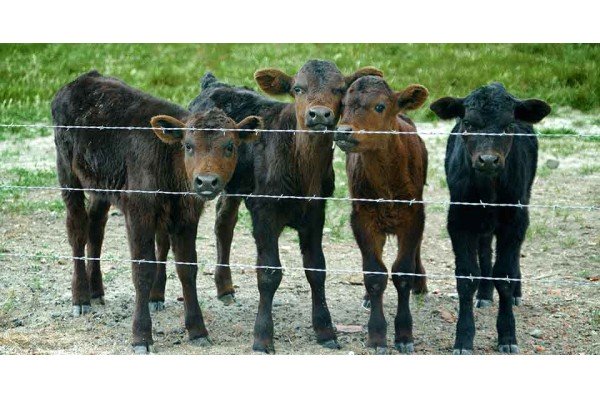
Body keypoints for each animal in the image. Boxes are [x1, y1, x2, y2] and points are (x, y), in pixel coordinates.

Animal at [49, 71, 260, 354]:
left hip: (101, 185)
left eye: (230, 146)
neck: (168, 163)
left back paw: (96, 290)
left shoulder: (186, 216)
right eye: (188, 145)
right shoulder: (139, 213)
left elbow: (187, 268)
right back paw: (81, 297)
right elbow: (142, 269)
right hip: (68, 174)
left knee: (96, 226)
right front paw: (141, 336)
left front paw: (197, 330)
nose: (206, 182)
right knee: (77, 229)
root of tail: (84, 78)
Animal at [188, 59, 382, 354]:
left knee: (224, 222)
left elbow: (316, 268)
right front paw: (262, 337)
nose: (319, 114)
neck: (301, 167)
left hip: (233, 184)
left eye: (339, 89)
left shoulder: (315, 212)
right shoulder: (264, 212)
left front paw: (325, 330)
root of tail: (214, 83)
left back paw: (225, 288)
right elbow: (269, 272)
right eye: (298, 89)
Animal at [336, 75, 428, 354]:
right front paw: (377, 336)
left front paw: (405, 334)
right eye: (342, 105)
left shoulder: (413, 216)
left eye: (380, 106)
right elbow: (375, 274)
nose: (343, 131)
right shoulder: (362, 219)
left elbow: (403, 272)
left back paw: (422, 283)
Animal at [428, 83, 552, 354]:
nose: (487, 160)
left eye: (508, 125)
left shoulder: (514, 221)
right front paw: (463, 338)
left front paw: (507, 336)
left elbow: (504, 274)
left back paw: (516, 293)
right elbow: (467, 276)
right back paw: (484, 294)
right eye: (468, 123)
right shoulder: (458, 221)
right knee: (485, 251)